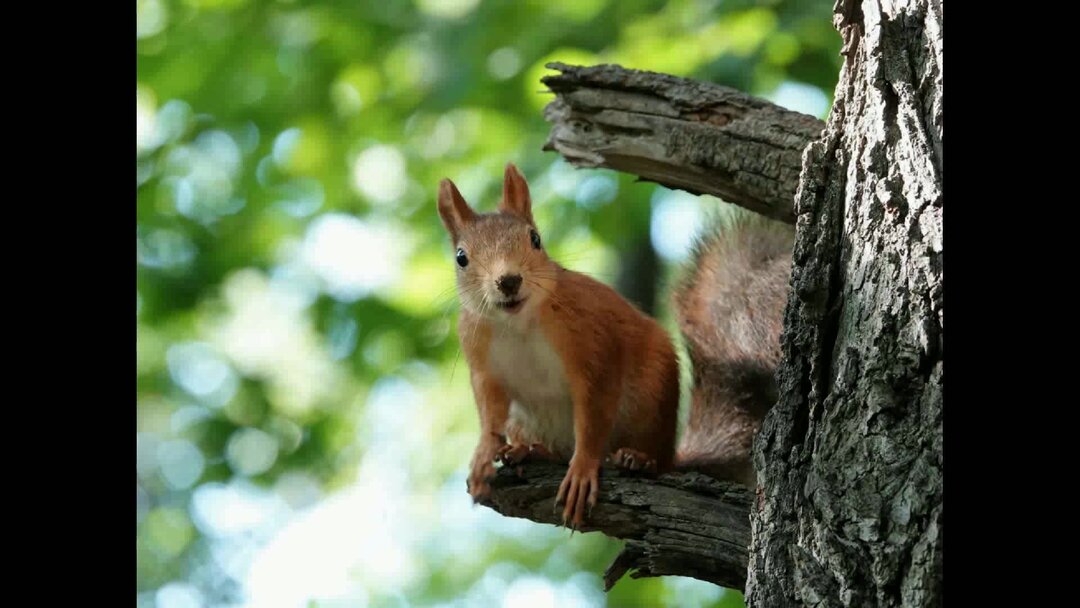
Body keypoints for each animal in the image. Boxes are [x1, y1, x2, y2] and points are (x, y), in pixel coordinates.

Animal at [436, 163, 794, 529]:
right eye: (461, 257)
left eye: (535, 239)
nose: (508, 281)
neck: (518, 323)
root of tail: (673, 453)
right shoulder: (481, 361)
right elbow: (489, 413)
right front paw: (483, 455)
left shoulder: (591, 340)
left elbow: (594, 413)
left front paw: (583, 468)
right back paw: (529, 449)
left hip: (650, 402)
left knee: (651, 456)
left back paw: (638, 459)